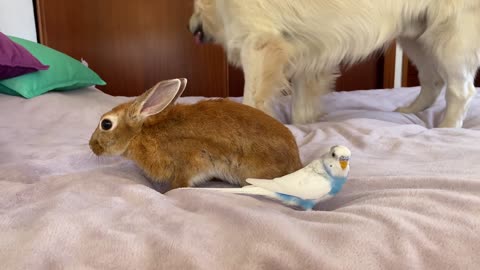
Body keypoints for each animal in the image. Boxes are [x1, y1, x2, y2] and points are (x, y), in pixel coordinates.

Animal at [88, 78, 302, 191]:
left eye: (106, 124)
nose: (92, 146)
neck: (141, 134)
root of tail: (296, 163)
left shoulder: (190, 161)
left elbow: (182, 182)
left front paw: (170, 191)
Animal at [188, 0, 480, 127]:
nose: (190, 29)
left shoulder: (259, 44)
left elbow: (252, 101)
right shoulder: (309, 57)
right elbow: (301, 109)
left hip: (451, 36)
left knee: (462, 90)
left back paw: (447, 128)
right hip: (417, 36)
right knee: (433, 80)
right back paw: (410, 110)